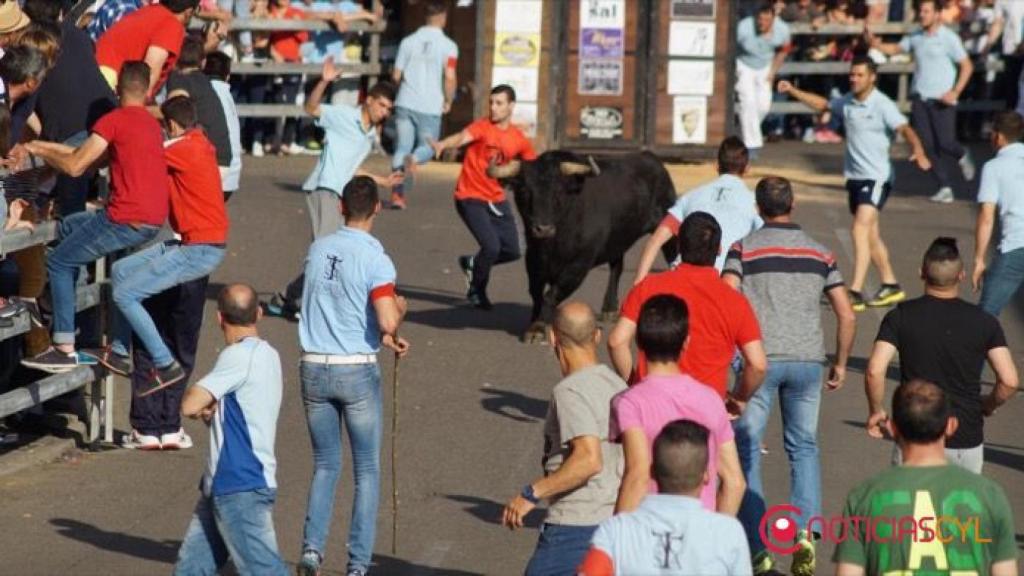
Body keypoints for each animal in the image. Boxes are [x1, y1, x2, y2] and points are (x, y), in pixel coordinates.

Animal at [489, 150, 679, 342]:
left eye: (558, 191)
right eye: (523, 190)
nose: (543, 228)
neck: (553, 245)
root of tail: (651, 158)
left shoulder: (578, 265)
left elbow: (551, 295)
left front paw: (538, 327)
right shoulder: (533, 259)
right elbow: (536, 293)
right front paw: (535, 323)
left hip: (667, 230)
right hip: (617, 240)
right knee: (616, 267)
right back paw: (610, 309)